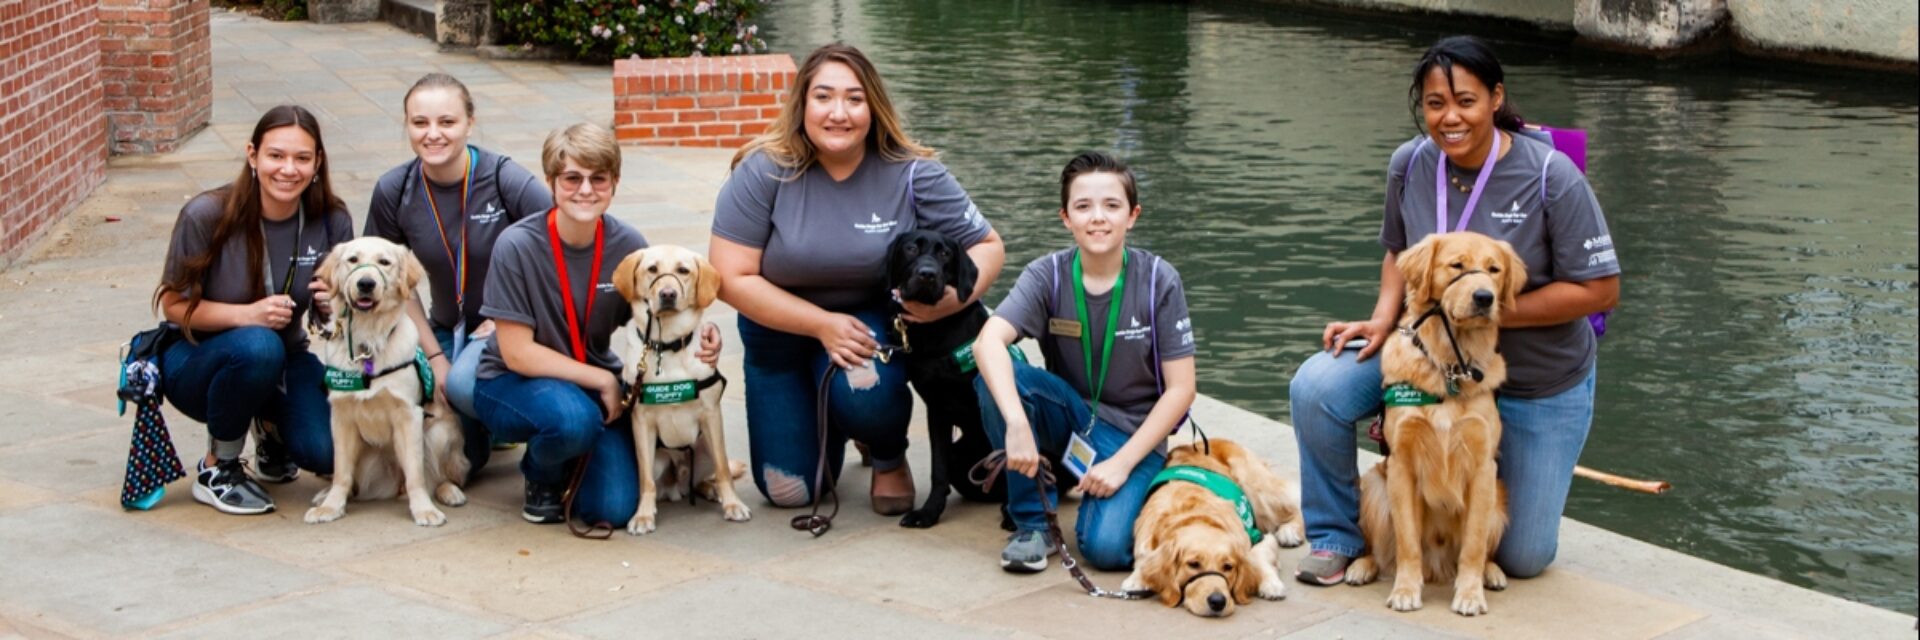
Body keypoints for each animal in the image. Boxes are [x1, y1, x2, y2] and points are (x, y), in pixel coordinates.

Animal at [311, 236, 472, 526]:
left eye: (384, 262)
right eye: (353, 259)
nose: (366, 283)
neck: (367, 341)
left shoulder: (409, 414)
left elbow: (416, 474)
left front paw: (423, 510)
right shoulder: (341, 416)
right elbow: (341, 472)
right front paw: (331, 506)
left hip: (439, 433)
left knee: (435, 476)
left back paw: (448, 491)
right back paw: (325, 495)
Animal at [610, 244, 744, 534]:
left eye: (683, 270)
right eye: (652, 269)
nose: (668, 294)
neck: (667, 345)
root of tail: (677, 486)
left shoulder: (711, 414)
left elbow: (723, 469)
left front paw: (732, 504)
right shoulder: (642, 423)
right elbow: (645, 480)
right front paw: (643, 516)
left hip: (704, 447)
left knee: (711, 472)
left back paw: (711, 489)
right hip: (659, 459)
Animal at [890, 229, 1029, 526]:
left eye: (945, 253)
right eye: (910, 248)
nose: (927, 274)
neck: (937, 331)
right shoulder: (936, 408)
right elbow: (938, 469)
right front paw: (929, 512)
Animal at [1121, 438, 1305, 615]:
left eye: (1228, 567)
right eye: (1193, 564)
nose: (1218, 601)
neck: (1195, 516)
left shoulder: (1257, 536)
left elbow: (1257, 557)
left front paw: (1271, 584)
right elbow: (1145, 560)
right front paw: (1136, 579)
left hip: (1255, 486)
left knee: (1295, 504)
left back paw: (1290, 531)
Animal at [1351, 229, 1528, 615]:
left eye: (1494, 269)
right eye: (1457, 265)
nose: (1484, 297)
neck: (1450, 366)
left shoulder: (1483, 469)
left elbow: (1473, 544)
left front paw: (1470, 594)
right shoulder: (1401, 465)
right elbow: (1407, 541)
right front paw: (1405, 590)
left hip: (1499, 500)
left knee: (1482, 549)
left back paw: (1491, 572)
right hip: (1374, 488)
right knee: (1380, 549)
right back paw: (1362, 566)